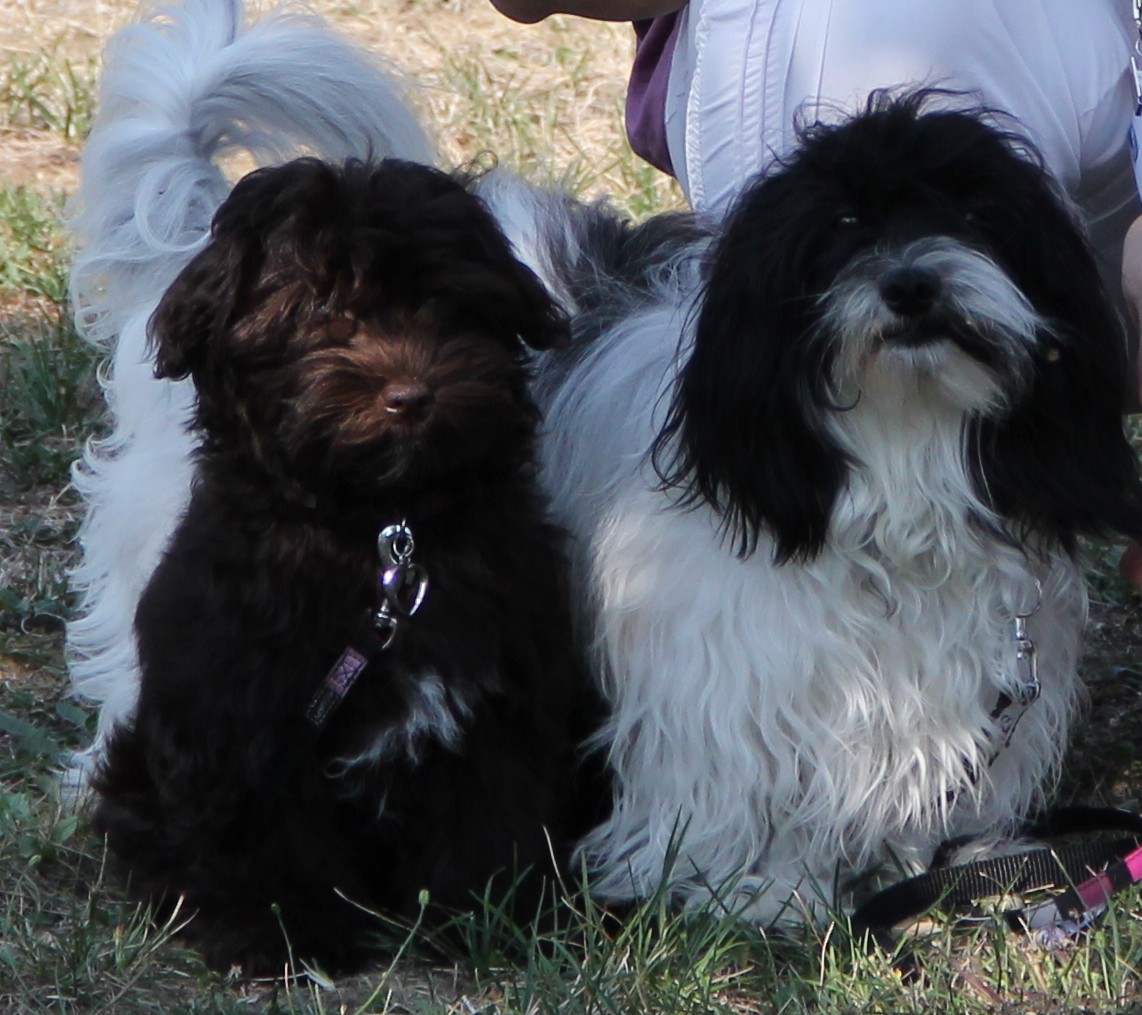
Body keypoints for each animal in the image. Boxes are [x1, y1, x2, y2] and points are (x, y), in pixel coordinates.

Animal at [91, 158, 589, 972]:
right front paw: (285, 932)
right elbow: (268, 831)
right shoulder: (248, 711)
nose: (409, 395)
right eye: (322, 310)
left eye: (443, 302)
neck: (383, 530)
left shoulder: (500, 698)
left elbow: (490, 810)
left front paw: (487, 916)